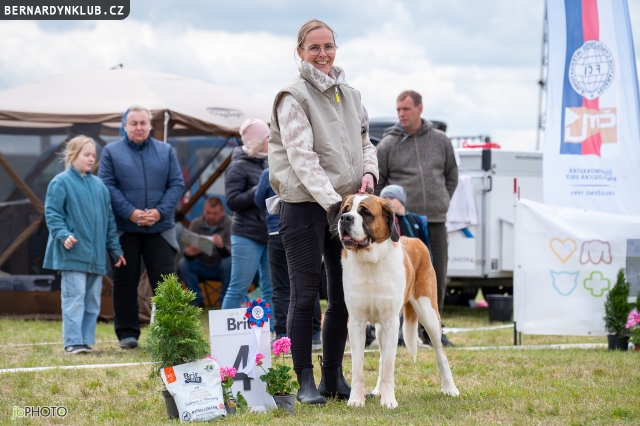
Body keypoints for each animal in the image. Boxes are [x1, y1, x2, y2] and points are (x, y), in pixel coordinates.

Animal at [328, 194, 459, 408]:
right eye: (345, 210)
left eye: (365, 212)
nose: (345, 218)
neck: (370, 262)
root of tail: (414, 239)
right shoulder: (356, 323)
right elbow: (358, 366)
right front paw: (356, 399)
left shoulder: (391, 323)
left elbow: (390, 364)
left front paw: (389, 401)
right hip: (380, 327)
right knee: (381, 358)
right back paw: (377, 390)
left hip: (429, 314)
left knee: (441, 354)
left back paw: (450, 388)